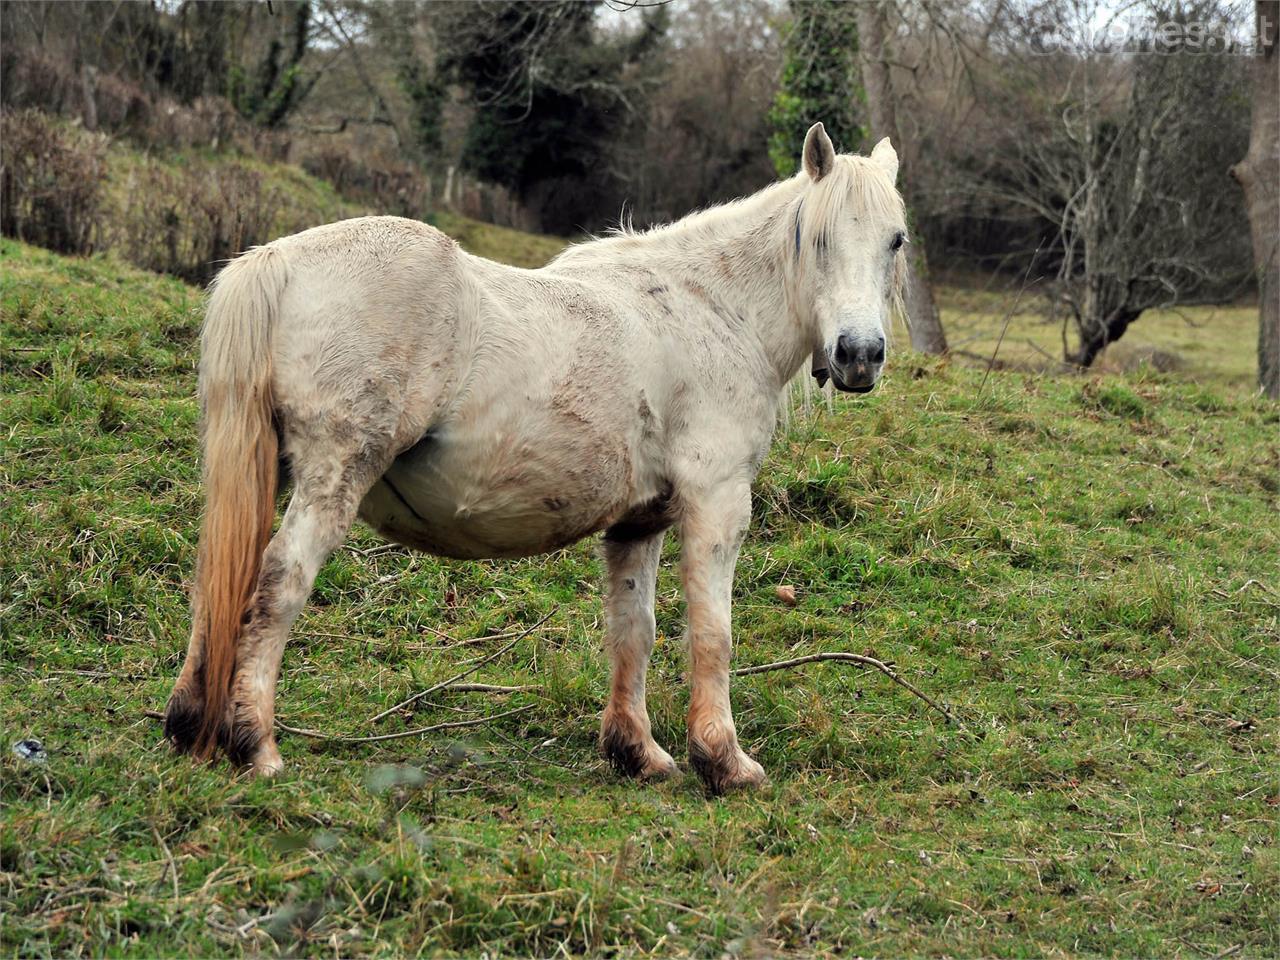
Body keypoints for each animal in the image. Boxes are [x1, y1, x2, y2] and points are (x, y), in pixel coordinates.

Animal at [167, 122, 911, 798]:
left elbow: (633, 630)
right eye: (820, 238)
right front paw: (724, 762)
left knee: (219, 580)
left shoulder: (640, 521)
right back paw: (256, 745)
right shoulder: (716, 503)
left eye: (895, 240)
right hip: (333, 477)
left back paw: (190, 724)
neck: (709, 311)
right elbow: (712, 634)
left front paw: (636, 752)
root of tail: (277, 259)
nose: (859, 355)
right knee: (279, 583)